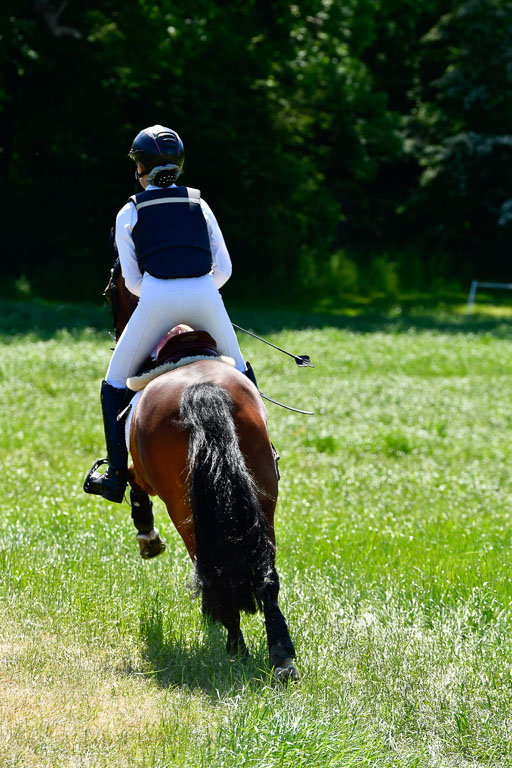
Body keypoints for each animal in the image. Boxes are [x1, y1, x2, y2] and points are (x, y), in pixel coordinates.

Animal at [103, 260, 298, 680]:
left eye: (110, 290)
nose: (115, 333)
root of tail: (202, 392)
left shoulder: (142, 472)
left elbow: (131, 483)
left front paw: (147, 537)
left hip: (183, 506)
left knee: (212, 567)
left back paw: (234, 646)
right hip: (263, 494)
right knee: (267, 575)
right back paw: (281, 657)